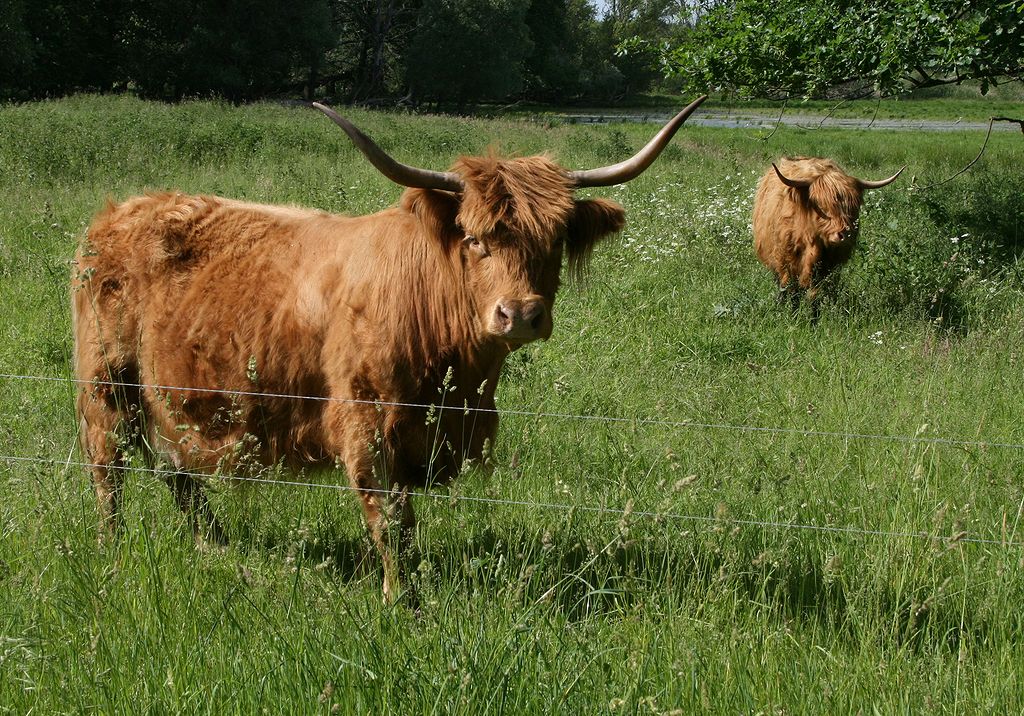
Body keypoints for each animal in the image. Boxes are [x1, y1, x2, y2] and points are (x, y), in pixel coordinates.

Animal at [72, 95, 708, 598]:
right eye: (474, 239)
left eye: (553, 243)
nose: (521, 314)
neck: (458, 376)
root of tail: (118, 214)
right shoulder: (367, 423)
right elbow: (391, 523)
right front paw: (398, 599)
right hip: (105, 382)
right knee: (109, 467)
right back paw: (112, 552)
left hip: (163, 395)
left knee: (174, 468)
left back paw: (215, 546)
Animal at [753, 157, 905, 307]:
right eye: (820, 205)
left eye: (853, 207)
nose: (845, 235)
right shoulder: (784, 261)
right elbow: (788, 290)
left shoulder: (826, 267)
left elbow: (814, 294)